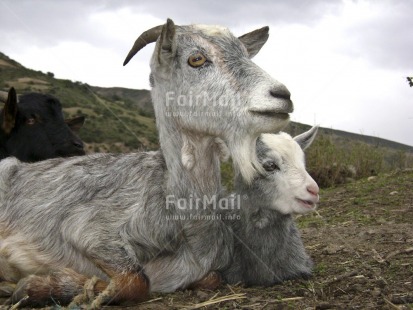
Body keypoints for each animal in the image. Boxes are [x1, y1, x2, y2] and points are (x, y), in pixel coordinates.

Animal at [0, 18, 292, 306]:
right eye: (196, 59)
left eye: (244, 53)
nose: (283, 95)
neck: (184, 220)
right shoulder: (88, 229)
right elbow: (137, 281)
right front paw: (40, 285)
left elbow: (211, 279)